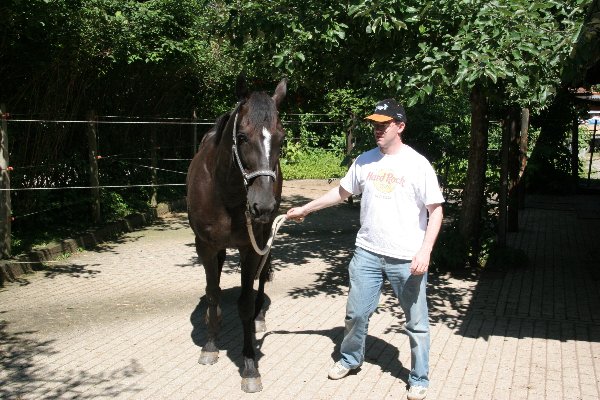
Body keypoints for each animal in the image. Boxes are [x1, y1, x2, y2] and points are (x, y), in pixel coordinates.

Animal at [186, 75, 287, 393]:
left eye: (281, 139)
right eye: (241, 137)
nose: (262, 206)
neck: (226, 191)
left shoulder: (250, 247)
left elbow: (244, 303)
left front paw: (250, 366)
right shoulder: (205, 246)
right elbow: (212, 293)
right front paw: (210, 346)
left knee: (261, 278)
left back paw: (259, 318)